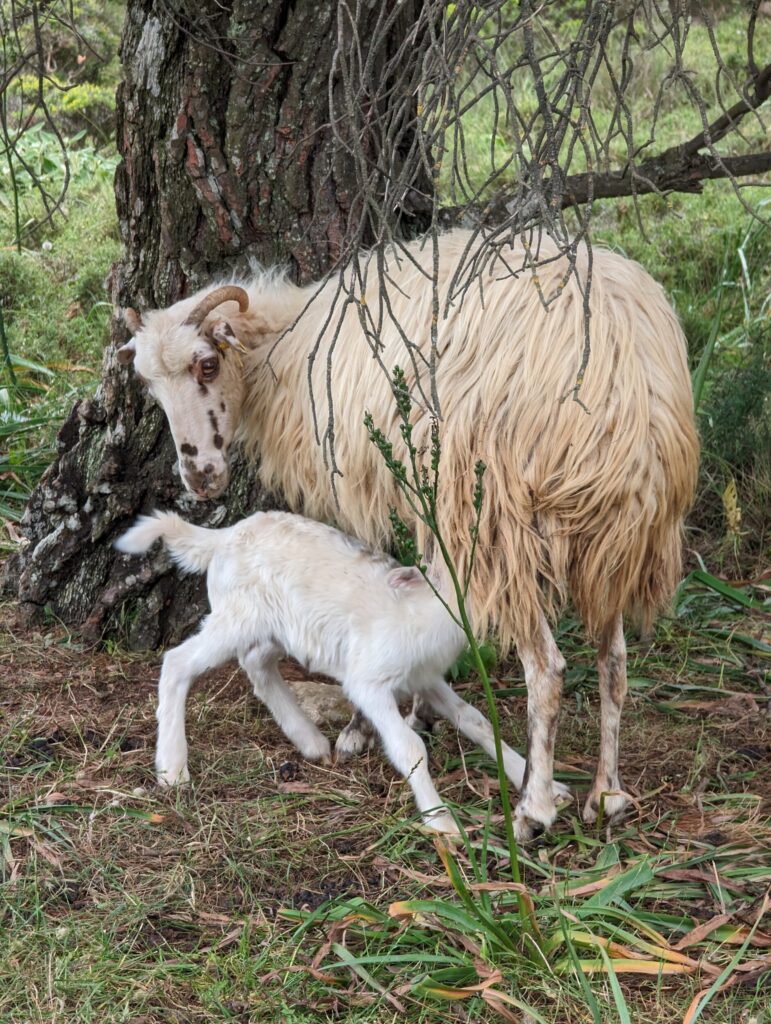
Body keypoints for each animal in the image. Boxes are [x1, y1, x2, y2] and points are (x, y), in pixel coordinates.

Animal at [117, 230, 700, 839]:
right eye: (151, 386)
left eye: (207, 365)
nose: (199, 477)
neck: (288, 344)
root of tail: (625, 384)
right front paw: (418, 707)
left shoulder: (361, 490)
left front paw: (362, 727)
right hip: (616, 542)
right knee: (614, 662)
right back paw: (606, 793)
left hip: (499, 523)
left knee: (547, 670)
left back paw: (533, 808)